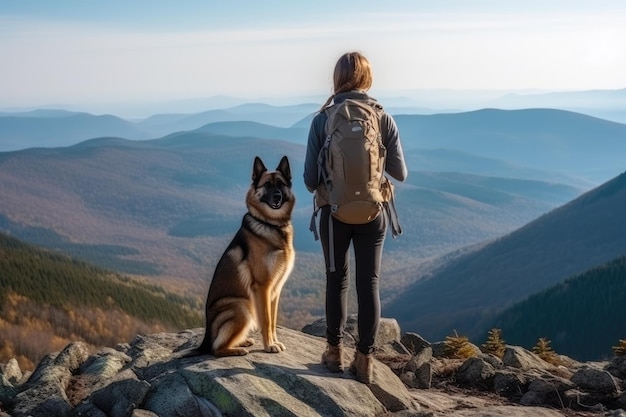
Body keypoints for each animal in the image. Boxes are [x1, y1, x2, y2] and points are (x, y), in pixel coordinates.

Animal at [196, 156, 294, 354]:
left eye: (281, 184)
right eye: (267, 185)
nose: (277, 197)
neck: (271, 225)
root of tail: (206, 339)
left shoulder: (275, 290)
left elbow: (273, 321)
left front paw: (274, 341)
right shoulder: (262, 287)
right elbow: (266, 320)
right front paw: (269, 345)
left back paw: (242, 342)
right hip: (242, 306)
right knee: (216, 349)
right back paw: (236, 350)